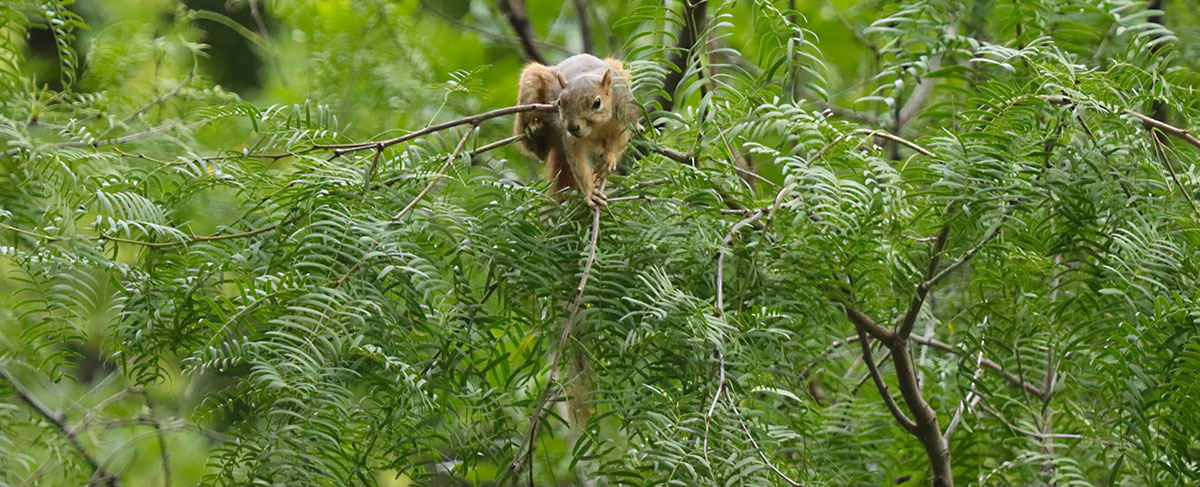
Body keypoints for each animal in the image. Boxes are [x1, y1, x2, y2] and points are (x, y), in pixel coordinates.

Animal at [514, 54, 639, 207]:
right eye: (560, 102)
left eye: (597, 103)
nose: (572, 127)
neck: (597, 127)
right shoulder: (570, 137)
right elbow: (577, 162)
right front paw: (590, 192)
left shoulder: (625, 113)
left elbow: (621, 140)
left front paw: (609, 158)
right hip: (530, 87)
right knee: (538, 152)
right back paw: (535, 133)